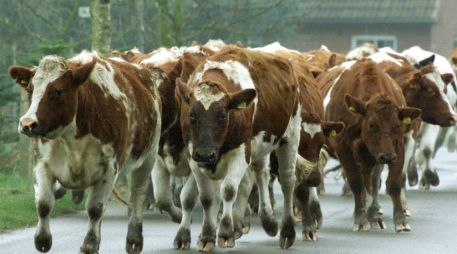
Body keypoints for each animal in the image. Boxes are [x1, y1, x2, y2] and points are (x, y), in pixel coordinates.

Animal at [7, 51, 162, 254]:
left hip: (148, 158)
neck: (72, 139)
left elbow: (95, 209)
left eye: (58, 91)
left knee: (138, 195)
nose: (27, 124)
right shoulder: (42, 164)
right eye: (31, 89)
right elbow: (43, 204)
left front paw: (89, 245)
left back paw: (134, 238)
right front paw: (42, 239)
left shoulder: (109, 169)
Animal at [318, 59, 420, 232]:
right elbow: (356, 182)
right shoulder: (342, 148)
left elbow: (393, 182)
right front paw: (360, 219)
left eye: (397, 126)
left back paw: (374, 213)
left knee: (373, 180)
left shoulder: (398, 146)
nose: (387, 157)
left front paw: (400, 220)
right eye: (372, 125)